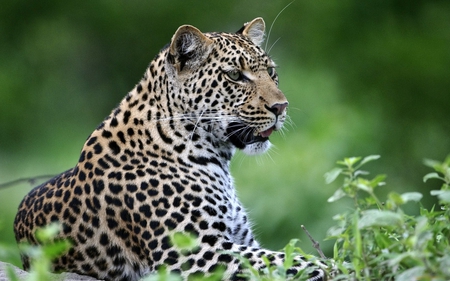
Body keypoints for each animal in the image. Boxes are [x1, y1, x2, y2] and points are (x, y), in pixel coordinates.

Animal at [12, 18, 326, 280]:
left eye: (271, 72)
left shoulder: (240, 239)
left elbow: (281, 256)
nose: (281, 107)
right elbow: (288, 260)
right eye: (235, 75)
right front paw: (324, 265)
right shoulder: (192, 253)